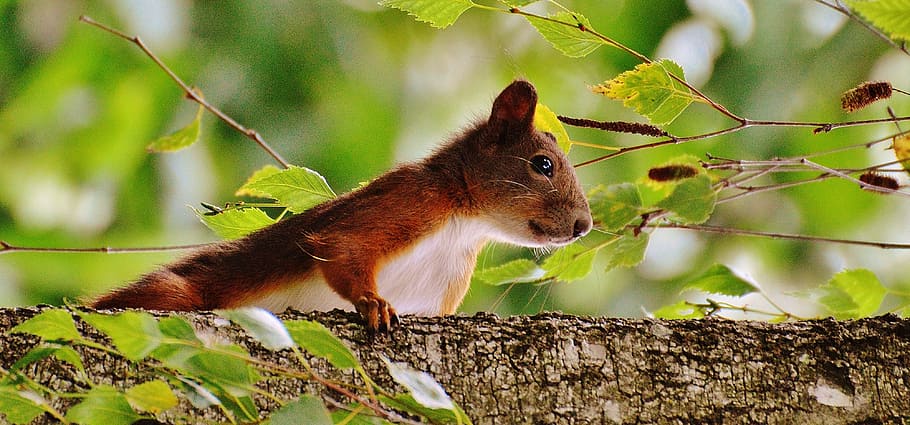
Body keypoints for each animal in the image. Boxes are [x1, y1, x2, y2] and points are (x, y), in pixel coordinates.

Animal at [90, 80, 593, 331]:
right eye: (543, 165)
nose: (584, 225)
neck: (463, 227)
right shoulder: (410, 200)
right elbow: (342, 245)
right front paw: (373, 303)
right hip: (178, 294)